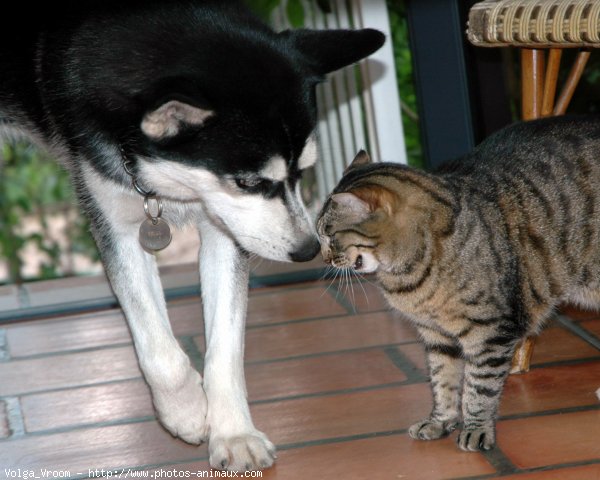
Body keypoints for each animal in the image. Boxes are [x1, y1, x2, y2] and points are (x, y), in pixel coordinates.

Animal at [0, 0, 384, 472]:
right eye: (248, 182)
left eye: (303, 172)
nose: (307, 249)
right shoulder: (114, 220)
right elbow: (158, 347)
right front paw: (183, 410)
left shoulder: (225, 232)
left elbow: (225, 347)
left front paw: (234, 432)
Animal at [316, 115, 596, 450]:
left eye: (329, 235)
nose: (323, 258)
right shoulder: (436, 335)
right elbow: (443, 380)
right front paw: (440, 421)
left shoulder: (490, 332)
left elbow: (479, 388)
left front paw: (476, 428)